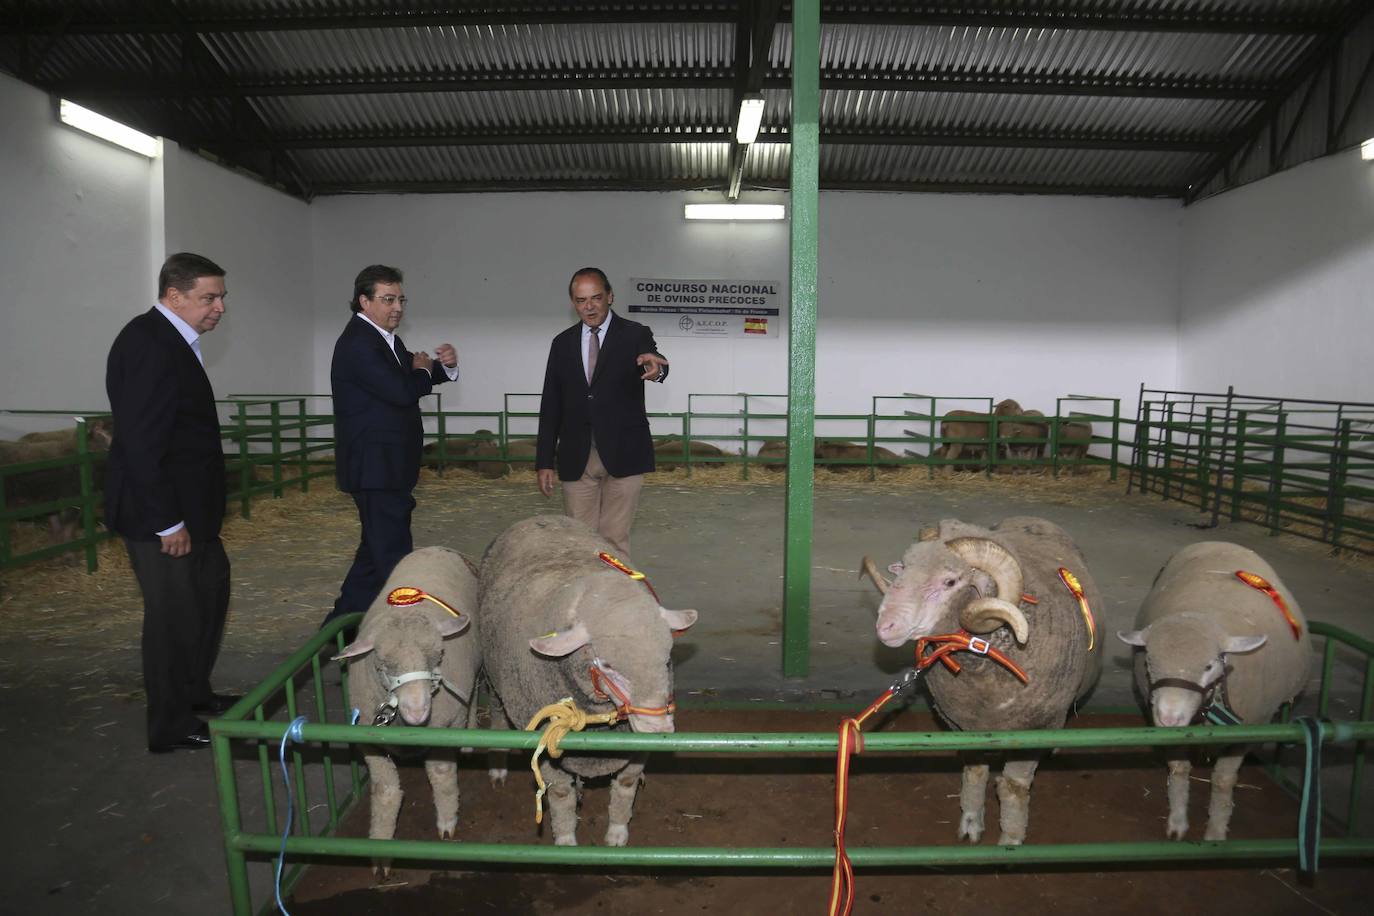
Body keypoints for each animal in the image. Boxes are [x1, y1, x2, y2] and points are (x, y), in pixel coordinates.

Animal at [332, 543, 483, 873]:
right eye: (382, 663)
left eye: (438, 656)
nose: (417, 712)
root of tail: (438, 547)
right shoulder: (369, 736)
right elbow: (385, 790)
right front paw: (381, 847)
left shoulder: (446, 725)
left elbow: (441, 772)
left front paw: (447, 821)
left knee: (473, 696)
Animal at [480, 516, 697, 845]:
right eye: (607, 664)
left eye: (667, 659)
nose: (658, 729)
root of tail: (537, 517)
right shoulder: (546, 744)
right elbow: (560, 795)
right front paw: (566, 841)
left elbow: (626, 783)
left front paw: (617, 833)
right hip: (494, 682)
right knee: (496, 711)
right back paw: (497, 767)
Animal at [1115, 541, 1308, 840]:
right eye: (1148, 662)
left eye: (1208, 666)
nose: (1169, 718)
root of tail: (1218, 543)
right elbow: (1179, 769)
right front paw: (1177, 823)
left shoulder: (1248, 731)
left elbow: (1222, 782)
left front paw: (1215, 832)